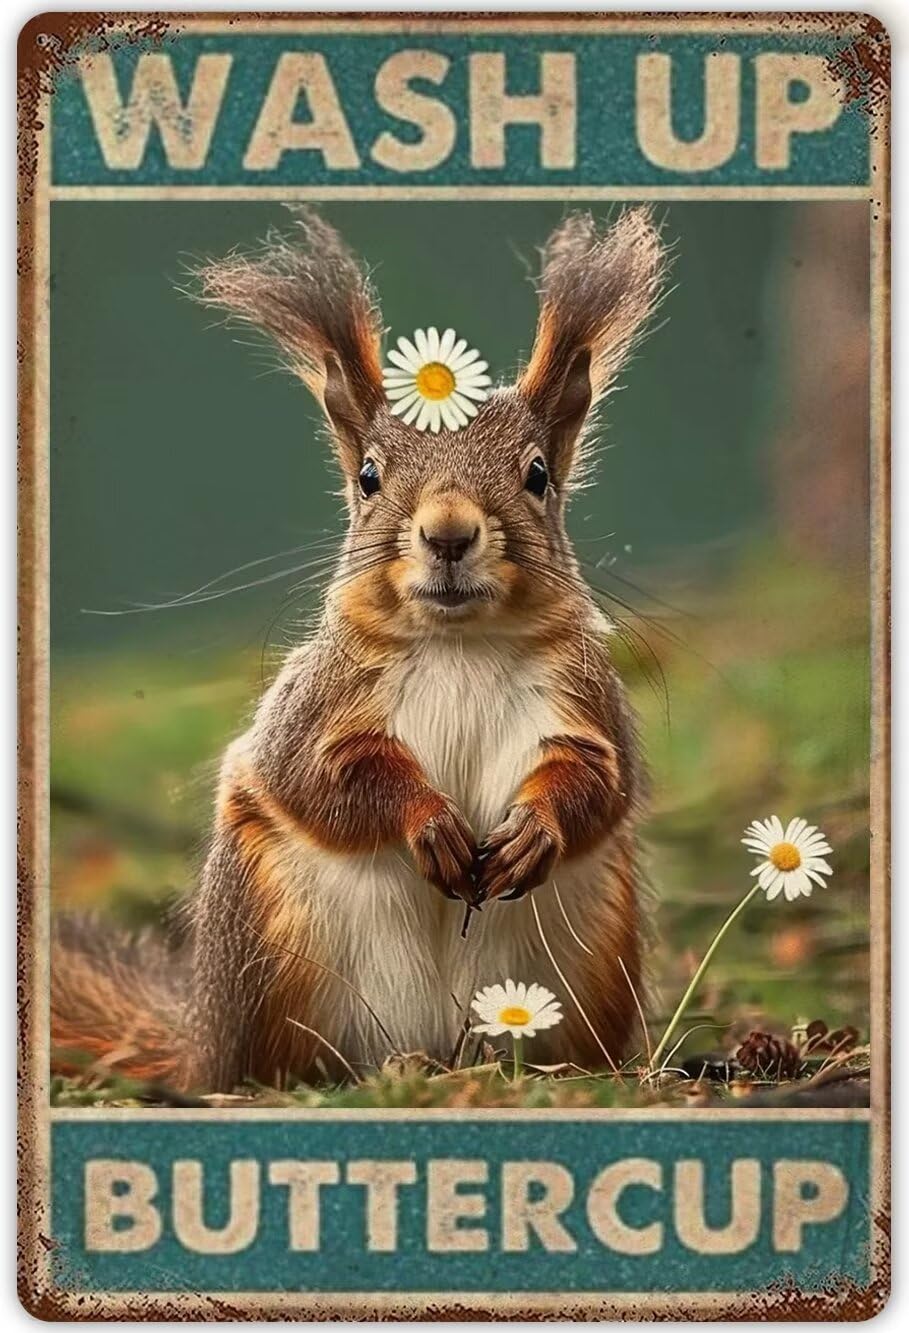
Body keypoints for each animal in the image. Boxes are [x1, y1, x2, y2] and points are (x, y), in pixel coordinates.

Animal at [51, 207, 666, 1092]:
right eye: (370, 476)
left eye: (537, 474)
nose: (447, 532)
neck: (460, 645)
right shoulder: (317, 707)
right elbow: (321, 777)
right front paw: (428, 822)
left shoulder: (585, 704)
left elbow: (597, 783)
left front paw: (534, 831)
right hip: (271, 942)